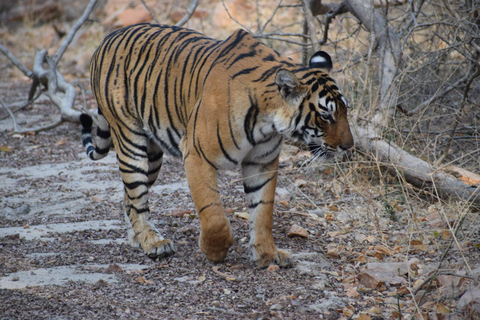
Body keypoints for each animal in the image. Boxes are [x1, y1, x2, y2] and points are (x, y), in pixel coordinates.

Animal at [80, 23, 354, 268]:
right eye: (326, 116)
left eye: (345, 111)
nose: (349, 147)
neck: (267, 121)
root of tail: (107, 38)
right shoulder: (196, 154)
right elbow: (212, 214)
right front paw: (214, 251)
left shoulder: (262, 162)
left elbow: (262, 212)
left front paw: (267, 254)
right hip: (130, 140)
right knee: (136, 196)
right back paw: (153, 242)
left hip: (153, 154)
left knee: (128, 197)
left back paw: (137, 238)